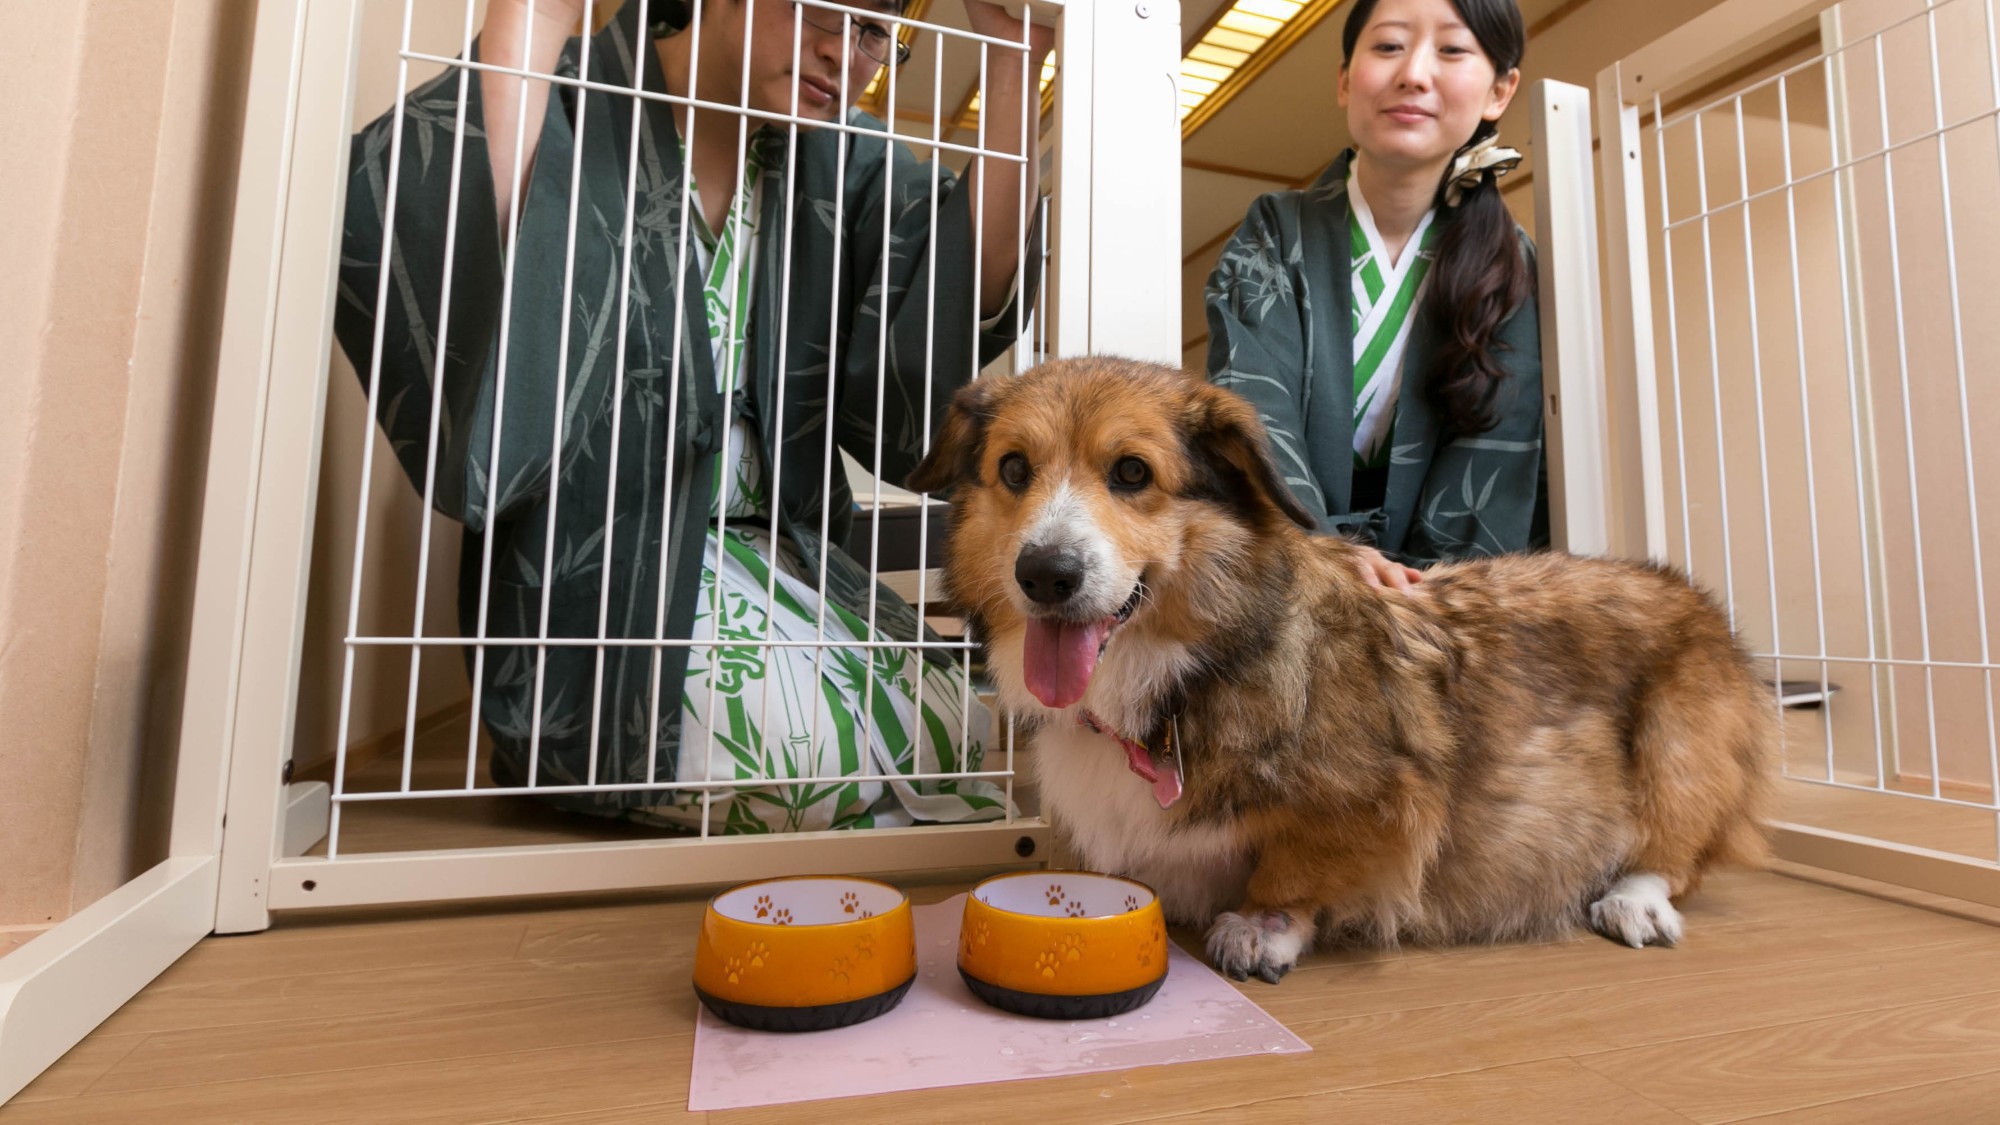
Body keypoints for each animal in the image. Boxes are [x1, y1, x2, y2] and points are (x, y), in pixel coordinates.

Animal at [908, 354, 1768, 976]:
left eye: (1131, 472)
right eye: (1014, 470)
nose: (1045, 574)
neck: (1190, 666)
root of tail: (1685, 588)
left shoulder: (1392, 799)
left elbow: (1299, 861)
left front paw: (1263, 926)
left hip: (1679, 751)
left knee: (1677, 851)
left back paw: (1634, 899)